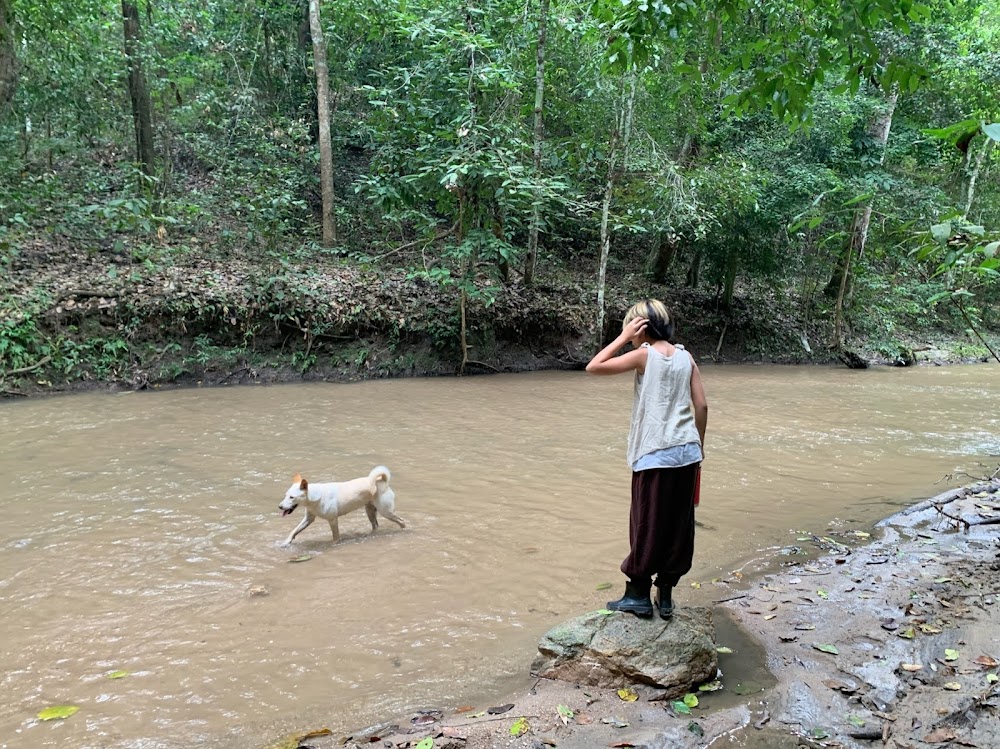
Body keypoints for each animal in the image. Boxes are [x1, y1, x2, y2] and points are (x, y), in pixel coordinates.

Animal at [276, 462, 404, 544]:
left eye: (292, 497)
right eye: (286, 495)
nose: (280, 506)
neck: (314, 498)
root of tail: (381, 480)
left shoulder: (333, 520)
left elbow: (335, 536)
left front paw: (334, 544)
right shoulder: (309, 518)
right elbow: (294, 530)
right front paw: (285, 543)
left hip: (385, 511)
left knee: (402, 521)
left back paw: (403, 531)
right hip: (370, 511)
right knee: (375, 525)